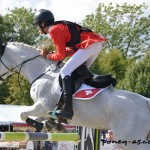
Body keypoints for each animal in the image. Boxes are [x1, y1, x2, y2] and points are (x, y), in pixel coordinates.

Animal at [0, 41, 150, 150]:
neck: (44, 72)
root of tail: (146, 102)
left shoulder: (42, 106)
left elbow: (23, 114)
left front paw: (40, 125)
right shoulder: (44, 110)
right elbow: (34, 117)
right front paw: (50, 124)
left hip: (129, 140)